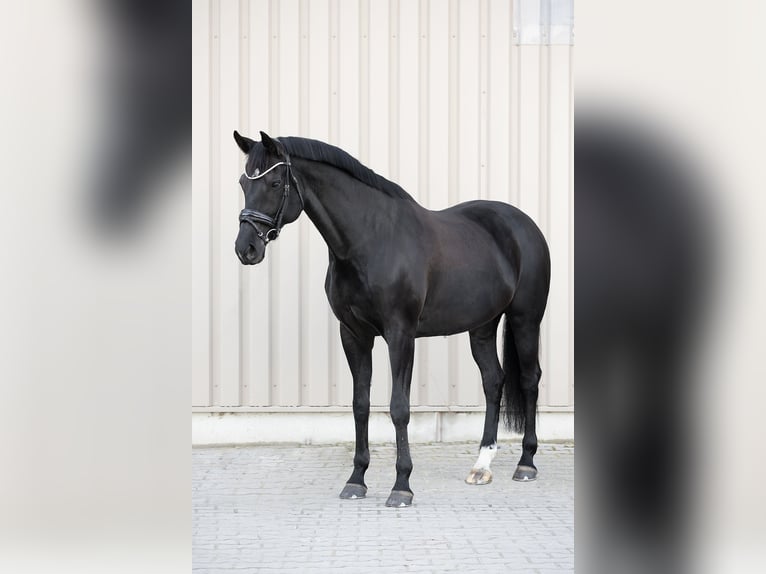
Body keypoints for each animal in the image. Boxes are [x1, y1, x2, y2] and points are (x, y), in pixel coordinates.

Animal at [232, 131, 550, 507]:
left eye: (275, 182)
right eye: (243, 183)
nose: (246, 249)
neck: (370, 240)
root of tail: (524, 225)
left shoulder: (400, 334)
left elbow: (399, 407)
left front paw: (402, 486)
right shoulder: (353, 334)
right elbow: (360, 404)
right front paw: (356, 480)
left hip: (525, 319)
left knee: (529, 380)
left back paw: (526, 463)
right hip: (482, 326)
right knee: (493, 380)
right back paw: (481, 465)